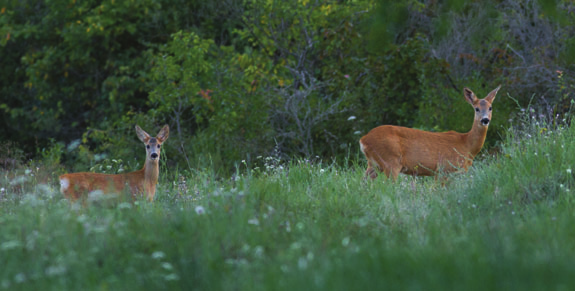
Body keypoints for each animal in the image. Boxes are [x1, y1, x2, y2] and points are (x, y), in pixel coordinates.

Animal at [362, 85, 502, 179]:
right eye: (476, 108)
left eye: (490, 107)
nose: (485, 120)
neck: (467, 145)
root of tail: (363, 139)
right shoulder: (443, 169)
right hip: (391, 162)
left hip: (373, 164)